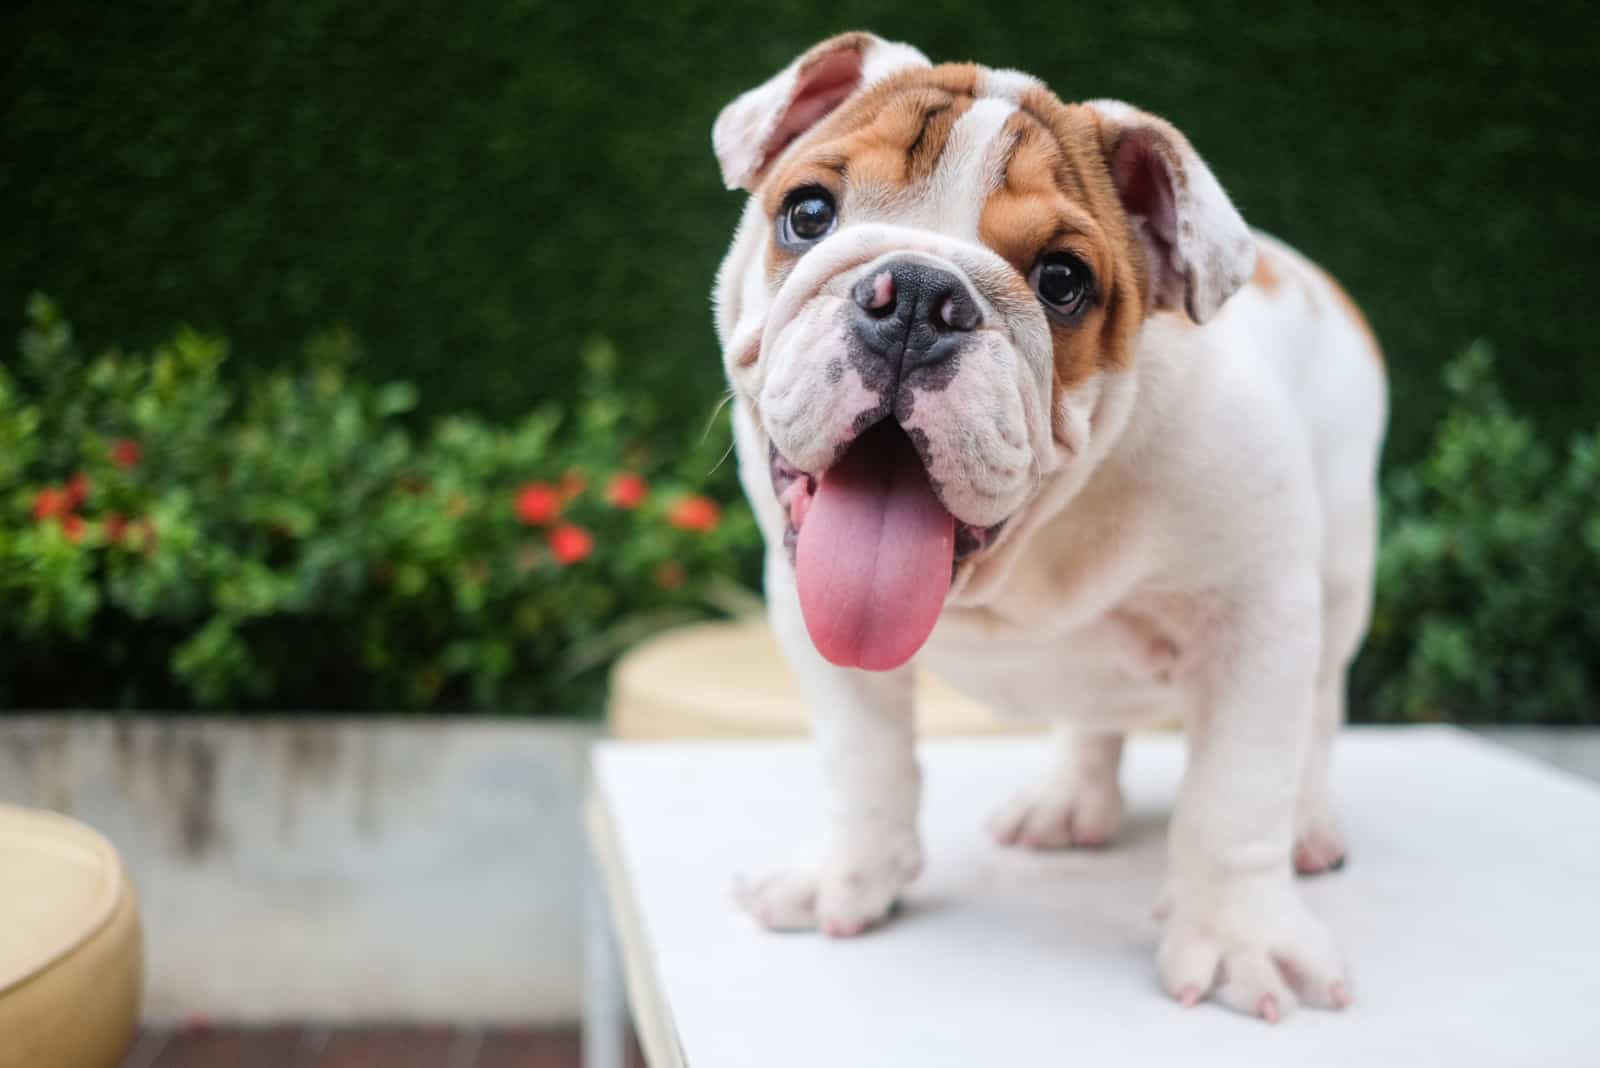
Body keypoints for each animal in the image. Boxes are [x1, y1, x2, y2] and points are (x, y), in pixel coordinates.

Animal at [713, 29, 1388, 1023]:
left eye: (1063, 281)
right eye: (807, 213)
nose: (916, 295)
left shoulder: (1256, 618)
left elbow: (1236, 792)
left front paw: (1241, 940)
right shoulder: (809, 615)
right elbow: (861, 756)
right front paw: (850, 875)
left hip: (1337, 586)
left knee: (1317, 715)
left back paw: (1306, 823)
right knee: (1093, 715)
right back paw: (1067, 802)